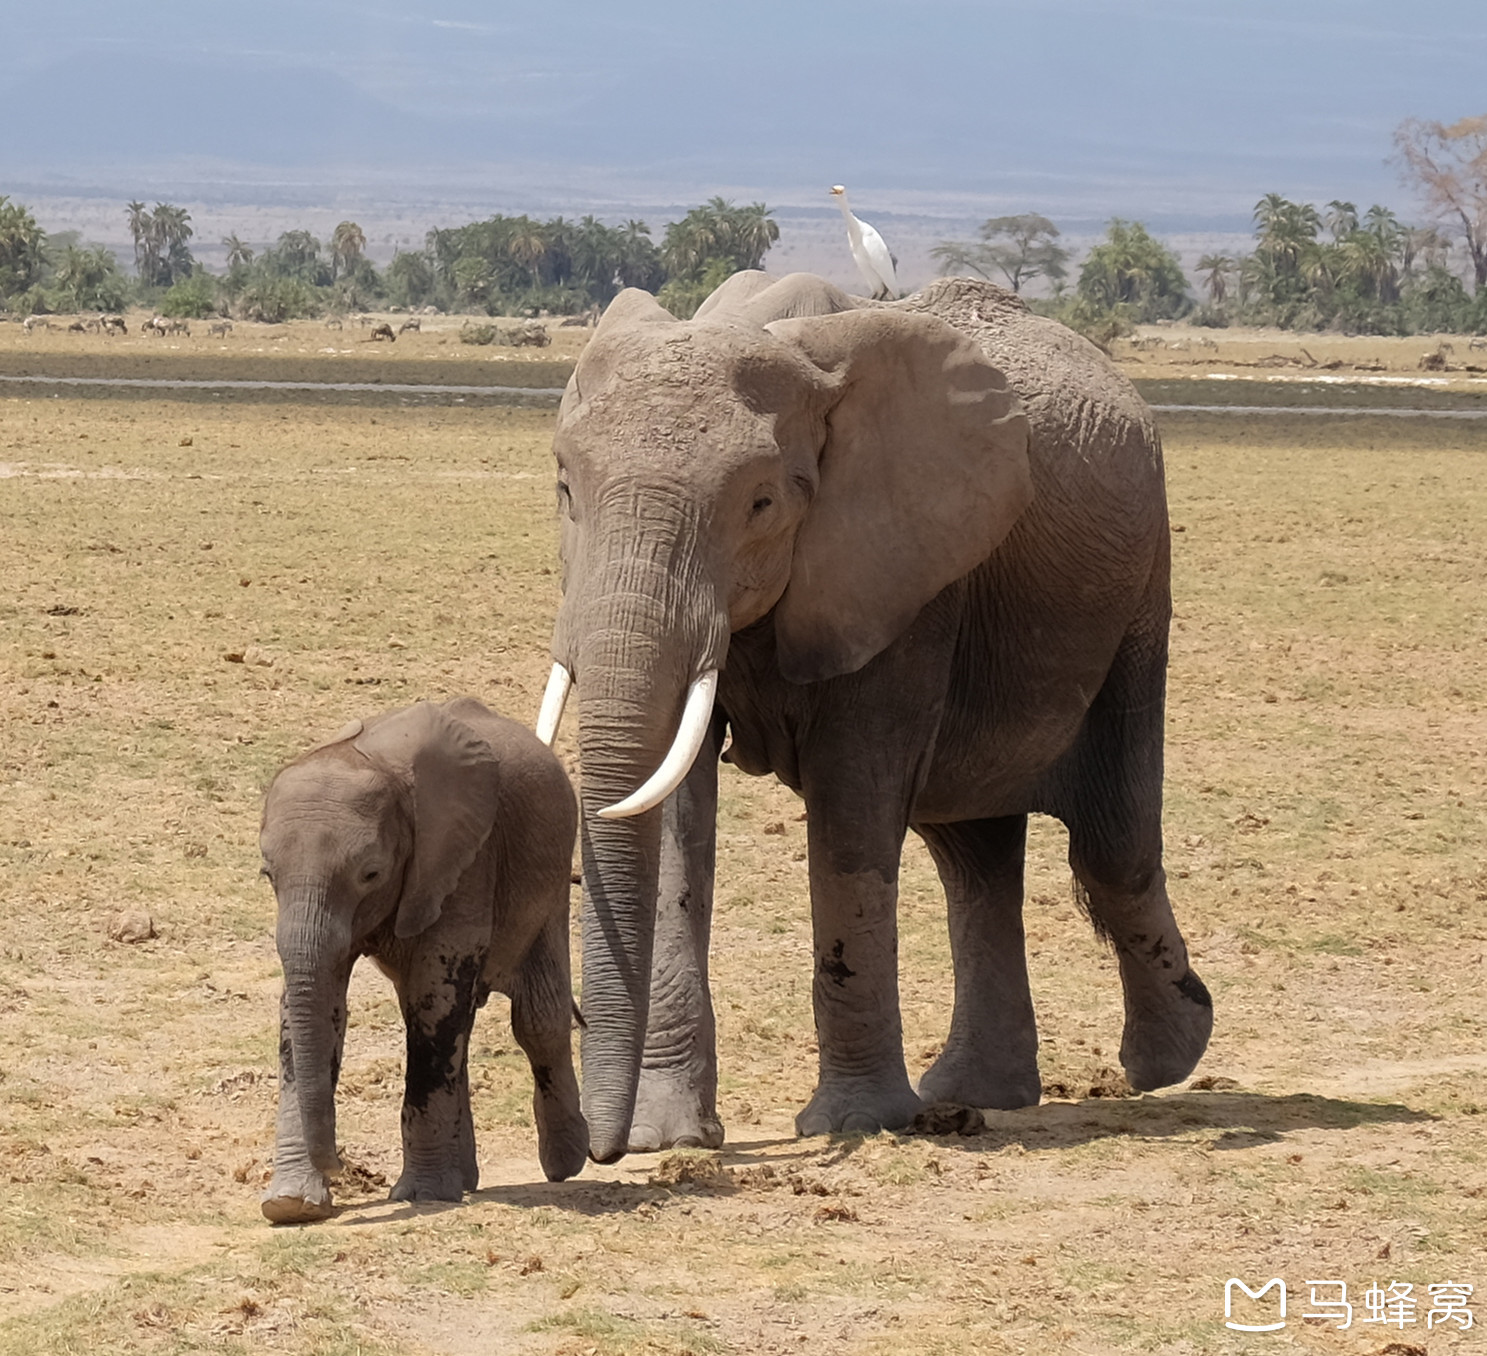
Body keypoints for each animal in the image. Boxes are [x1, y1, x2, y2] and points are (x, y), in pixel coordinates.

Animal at [258, 692, 582, 1225]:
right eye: (268, 875)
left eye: (371, 873)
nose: (341, 1164)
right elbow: (319, 1007)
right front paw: (290, 1206)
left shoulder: (463, 856)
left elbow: (433, 1001)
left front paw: (422, 1194)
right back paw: (466, 1179)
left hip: (552, 877)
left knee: (537, 1017)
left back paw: (565, 1164)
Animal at [541, 270, 1213, 1159]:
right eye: (564, 489)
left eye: (761, 503)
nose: (600, 1147)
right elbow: (675, 812)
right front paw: (671, 1137)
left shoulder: (907, 572)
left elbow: (852, 811)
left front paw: (856, 1123)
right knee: (971, 858)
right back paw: (975, 1092)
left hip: (1139, 596)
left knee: (1110, 843)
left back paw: (1165, 1063)